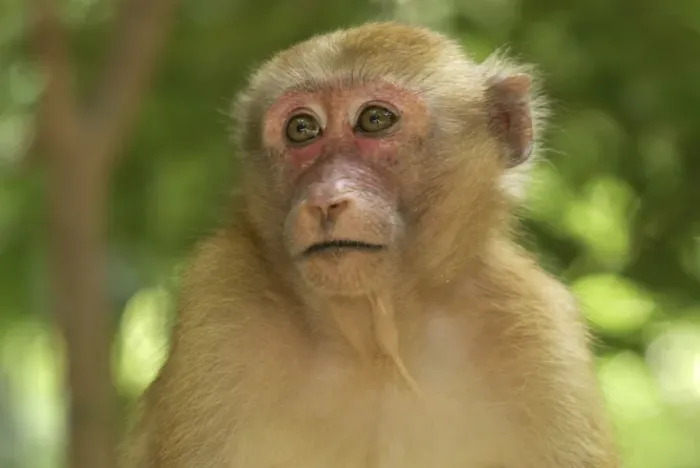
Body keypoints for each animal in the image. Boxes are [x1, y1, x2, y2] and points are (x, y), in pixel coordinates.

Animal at [118, 21, 620, 468]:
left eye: (375, 120)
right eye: (302, 128)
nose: (324, 199)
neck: (376, 341)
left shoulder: (541, 334)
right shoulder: (219, 307)